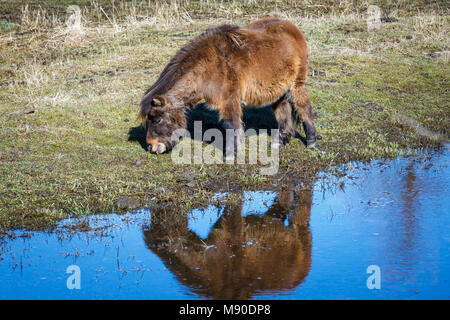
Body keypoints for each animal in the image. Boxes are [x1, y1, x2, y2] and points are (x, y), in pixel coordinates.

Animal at [139, 17, 318, 156]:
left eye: (157, 119)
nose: (151, 147)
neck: (208, 65)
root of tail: (292, 28)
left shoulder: (229, 99)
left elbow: (231, 125)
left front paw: (231, 154)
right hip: (276, 89)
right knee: (283, 110)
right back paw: (280, 140)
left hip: (297, 84)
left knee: (304, 108)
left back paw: (311, 141)